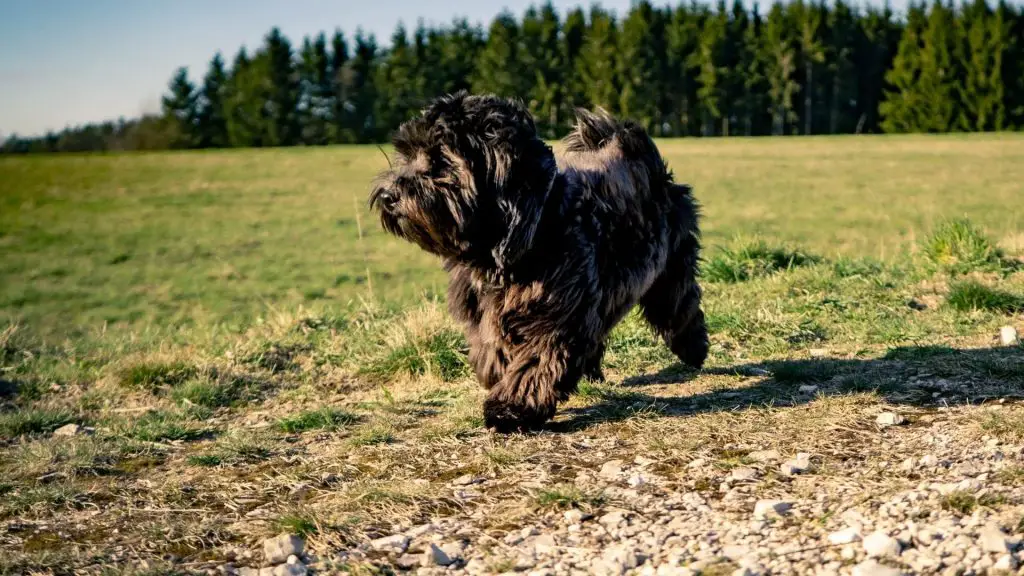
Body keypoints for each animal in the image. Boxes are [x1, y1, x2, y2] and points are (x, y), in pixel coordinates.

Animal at [372, 90, 708, 430]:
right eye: (407, 154)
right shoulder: (484, 309)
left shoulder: (556, 313)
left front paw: (511, 407)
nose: (388, 195)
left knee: (680, 305)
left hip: (669, 267)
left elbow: (537, 360)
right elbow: (491, 347)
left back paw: (693, 348)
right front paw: (497, 374)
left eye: (441, 160)